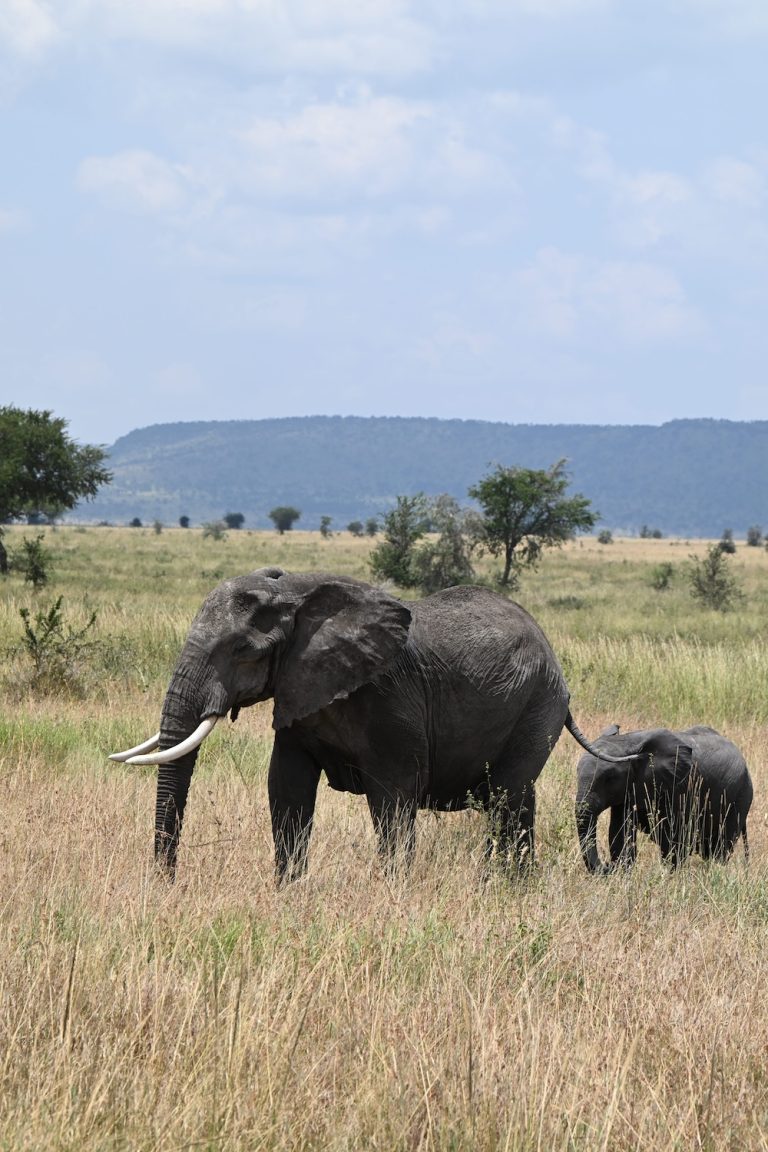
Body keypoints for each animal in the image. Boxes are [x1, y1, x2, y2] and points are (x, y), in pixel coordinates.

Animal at [111, 568, 634, 883]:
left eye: (243, 650)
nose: (168, 885)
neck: (297, 592)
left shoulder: (390, 698)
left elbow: (393, 799)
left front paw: (392, 893)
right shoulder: (300, 689)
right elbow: (287, 788)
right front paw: (289, 893)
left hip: (537, 703)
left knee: (508, 796)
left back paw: (497, 885)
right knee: (516, 801)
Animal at [575, 724, 753, 873]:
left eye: (609, 778)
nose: (607, 865)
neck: (629, 741)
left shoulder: (678, 786)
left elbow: (673, 836)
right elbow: (619, 832)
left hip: (740, 797)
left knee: (721, 847)